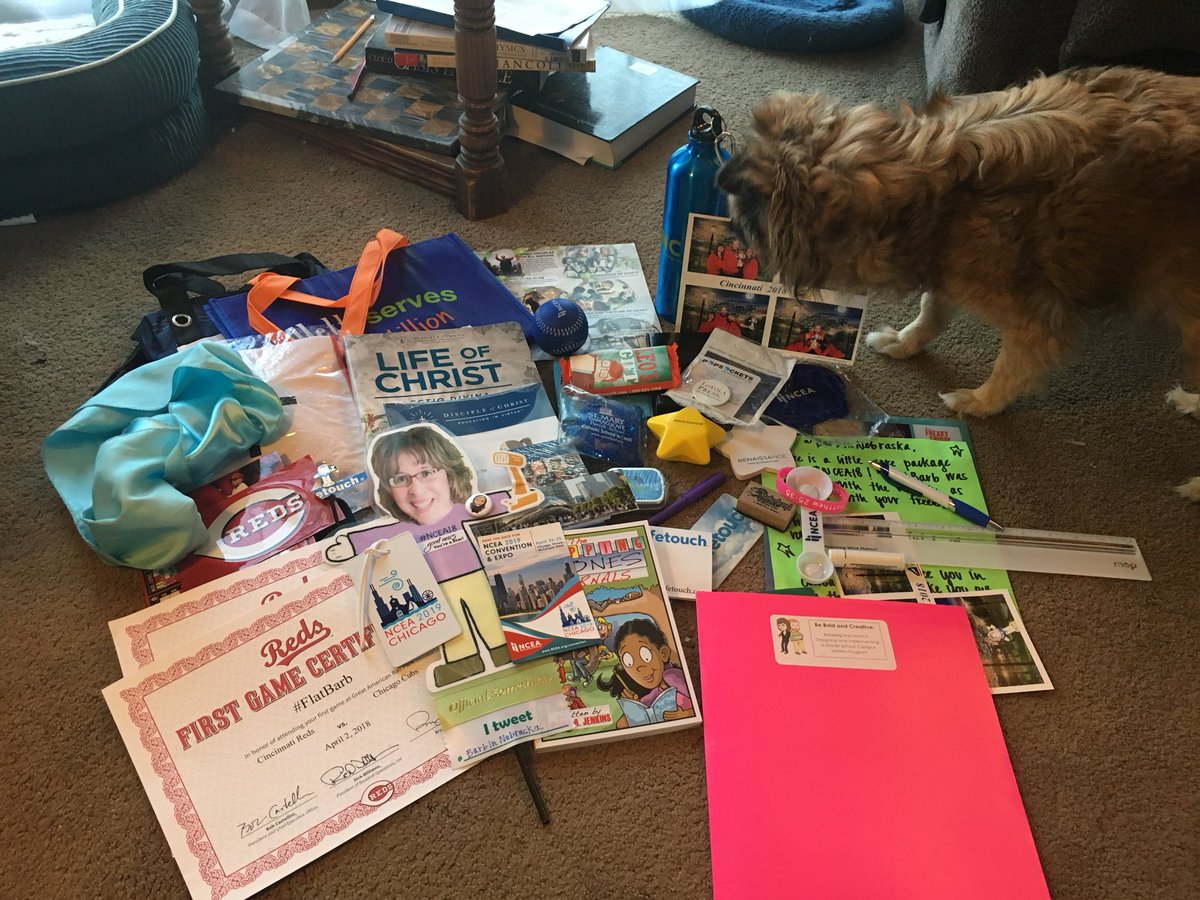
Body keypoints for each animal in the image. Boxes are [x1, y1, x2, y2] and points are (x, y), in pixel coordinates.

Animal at [715, 66, 1200, 496]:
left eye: (743, 219)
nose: (733, 233)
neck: (925, 185)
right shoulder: (944, 264)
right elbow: (932, 308)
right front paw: (905, 342)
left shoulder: (1035, 319)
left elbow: (1011, 366)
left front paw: (980, 403)